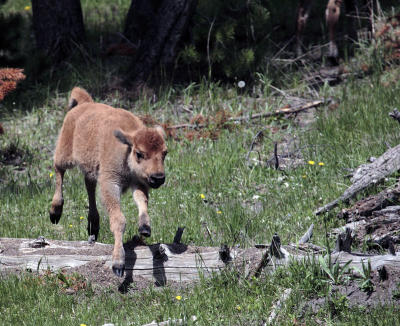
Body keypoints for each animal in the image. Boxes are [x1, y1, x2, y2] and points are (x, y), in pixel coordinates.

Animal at [50, 88, 167, 276]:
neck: (126, 148)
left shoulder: (139, 183)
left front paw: (144, 227)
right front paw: (118, 264)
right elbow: (119, 219)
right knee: (58, 171)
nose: (158, 178)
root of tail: (85, 104)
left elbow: (142, 201)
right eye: (139, 153)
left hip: (90, 168)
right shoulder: (110, 183)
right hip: (65, 154)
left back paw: (93, 226)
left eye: (165, 153)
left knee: (89, 186)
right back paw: (55, 211)